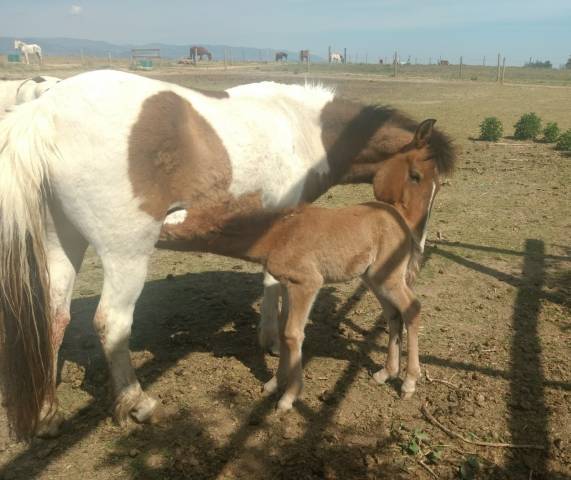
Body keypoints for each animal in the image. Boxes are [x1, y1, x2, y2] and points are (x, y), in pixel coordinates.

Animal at [0, 69, 456, 440]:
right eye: (417, 175)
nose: (413, 246)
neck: (299, 129)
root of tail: (43, 113)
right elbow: (273, 287)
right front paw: (271, 344)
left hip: (62, 240)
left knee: (54, 318)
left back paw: (48, 415)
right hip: (125, 252)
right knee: (112, 323)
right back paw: (138, 403)